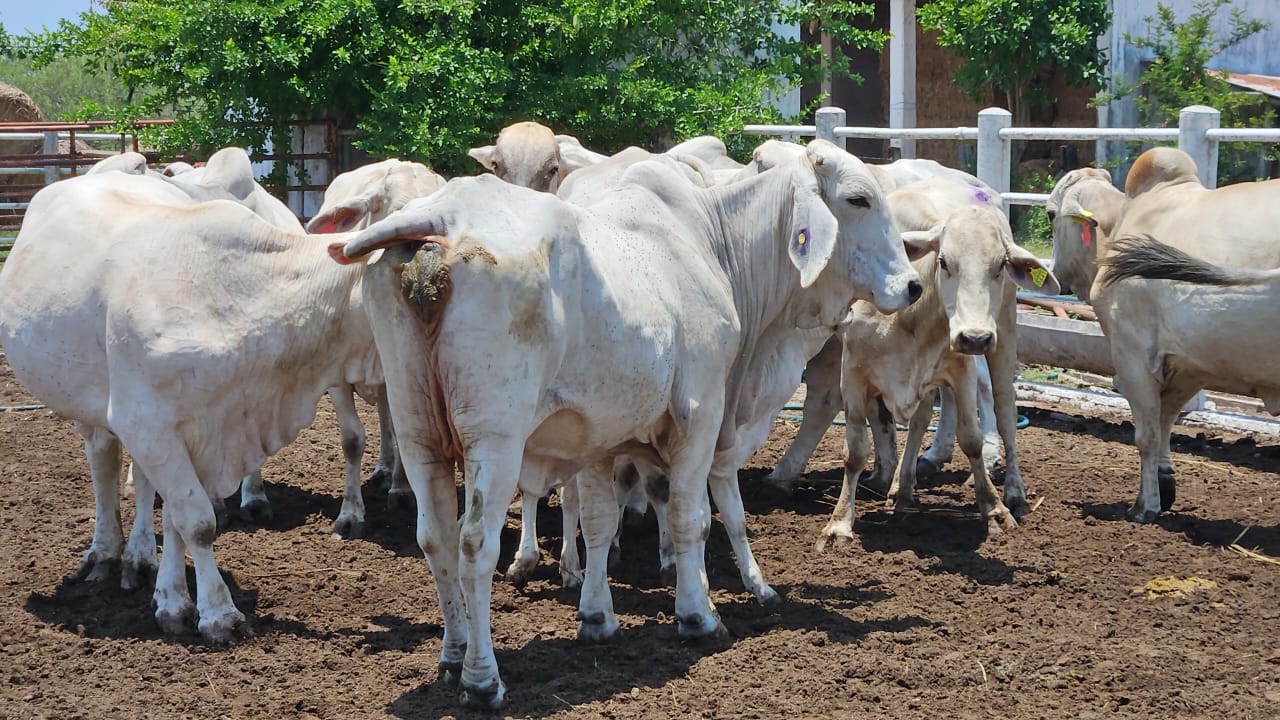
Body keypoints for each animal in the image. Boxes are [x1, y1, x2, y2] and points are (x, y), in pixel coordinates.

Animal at [0, 171, 378, 642]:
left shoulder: (200, 429)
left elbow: (178, 519)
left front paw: (173, 600)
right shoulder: (145, 421)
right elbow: (197, 520)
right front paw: (217, 613)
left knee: (136, 480)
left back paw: (137, 556)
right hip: (93, 406)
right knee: (103, 465)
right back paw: (105, 552)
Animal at [332, 140, 921, 707]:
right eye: (859, 198)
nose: (914, 285)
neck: (715, 246)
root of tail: (442, 216)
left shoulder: (598, 436)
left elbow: (598, 524)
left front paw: (597, 616)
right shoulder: (701, 416)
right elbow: (691, 519)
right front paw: (698, 616)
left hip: (418, 430)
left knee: (435, 539)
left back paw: (453, 656)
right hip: (493, 442)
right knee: (475, 544)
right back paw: (482, 678)